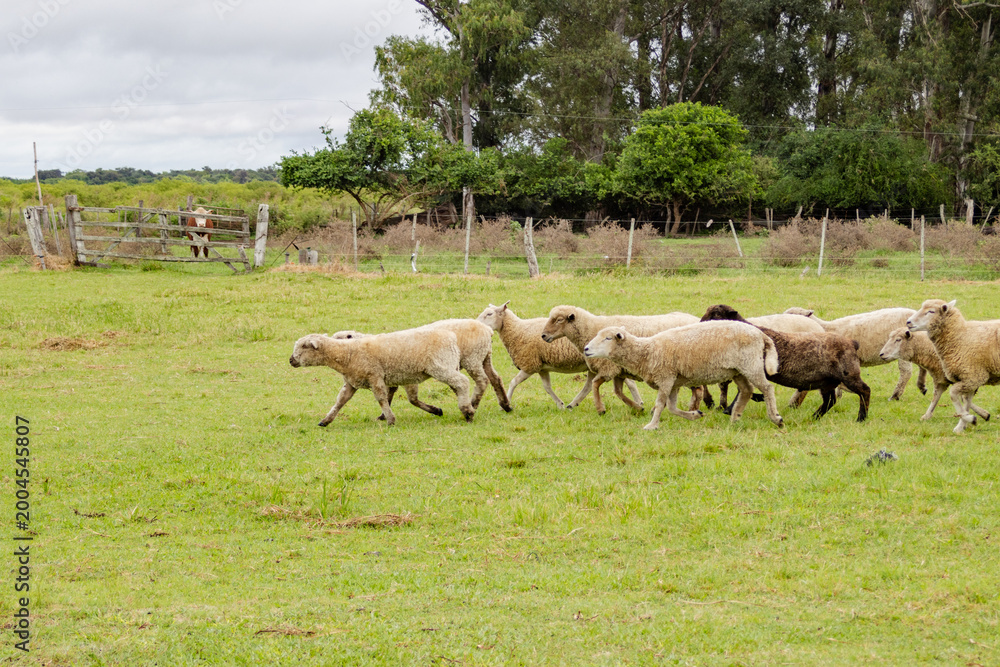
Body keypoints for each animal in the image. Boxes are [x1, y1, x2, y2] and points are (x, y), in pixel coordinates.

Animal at [476, 301, 642, 409]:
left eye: (489, 314)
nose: (475, 324)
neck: (518, 330)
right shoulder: (541, 367)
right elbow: (547, 387)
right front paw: (560, 404)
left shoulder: (530, 364)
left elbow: (513, 382)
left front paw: (506, 403)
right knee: (591, 385)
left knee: (628, 382)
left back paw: (638, 402)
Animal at [539, 305, 701, 414]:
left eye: (559, 320)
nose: (543, 336)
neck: (591, 329)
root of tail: (696, 318)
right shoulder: (617, 370)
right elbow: (617, 391)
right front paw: (638, 407)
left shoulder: (609, 367)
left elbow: (595, 384)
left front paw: (600, 409)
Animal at [582, 322, 784, 429]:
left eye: (608, 338)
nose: (586, 349)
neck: (647, 352)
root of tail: (761, 334)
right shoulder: (674, 382)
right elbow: (671, 407)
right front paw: (695, 414)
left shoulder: (665, 377)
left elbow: (660, 404)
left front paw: (651, 426)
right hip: (738, 370)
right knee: (747, 390)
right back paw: (735, 418)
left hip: (751, 364)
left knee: (767, 388)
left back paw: (776, 418)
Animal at [701, 304, 871, 421]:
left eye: (716, 314)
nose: (701, 323)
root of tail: (852, 343)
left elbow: (743, 391)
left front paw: (729, 409)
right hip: (828, 381)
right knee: (830, 400)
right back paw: (814, 417)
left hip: (848, 374)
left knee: (864, 391)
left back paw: (861, 418)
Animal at [906, 299, 1000, 433]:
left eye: (931, 311)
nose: (908, 322)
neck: (960, 337)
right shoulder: (969, 379)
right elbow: (966, 402)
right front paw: (962, 426)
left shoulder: (973, 377)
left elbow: (953, 395)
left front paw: (970, 419)